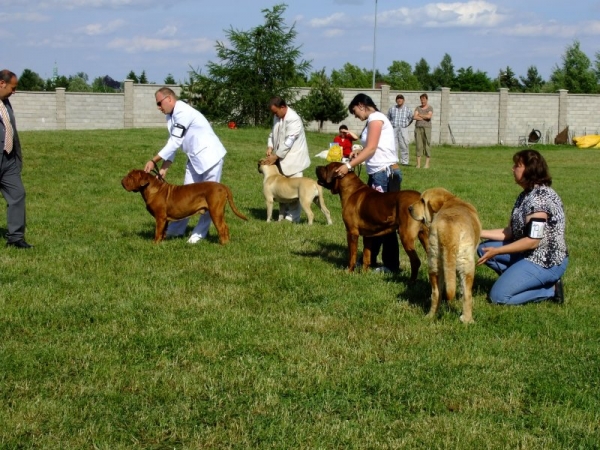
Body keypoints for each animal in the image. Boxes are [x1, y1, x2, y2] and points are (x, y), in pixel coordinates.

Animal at [408, 187, 482, 324]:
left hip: (434, 264)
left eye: (422, 200)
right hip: (468, 267)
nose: (409, 208)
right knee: (467, 295)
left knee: (436, 293)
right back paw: (468, 320)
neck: (450, 200)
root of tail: (448, 229)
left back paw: (430, 316)